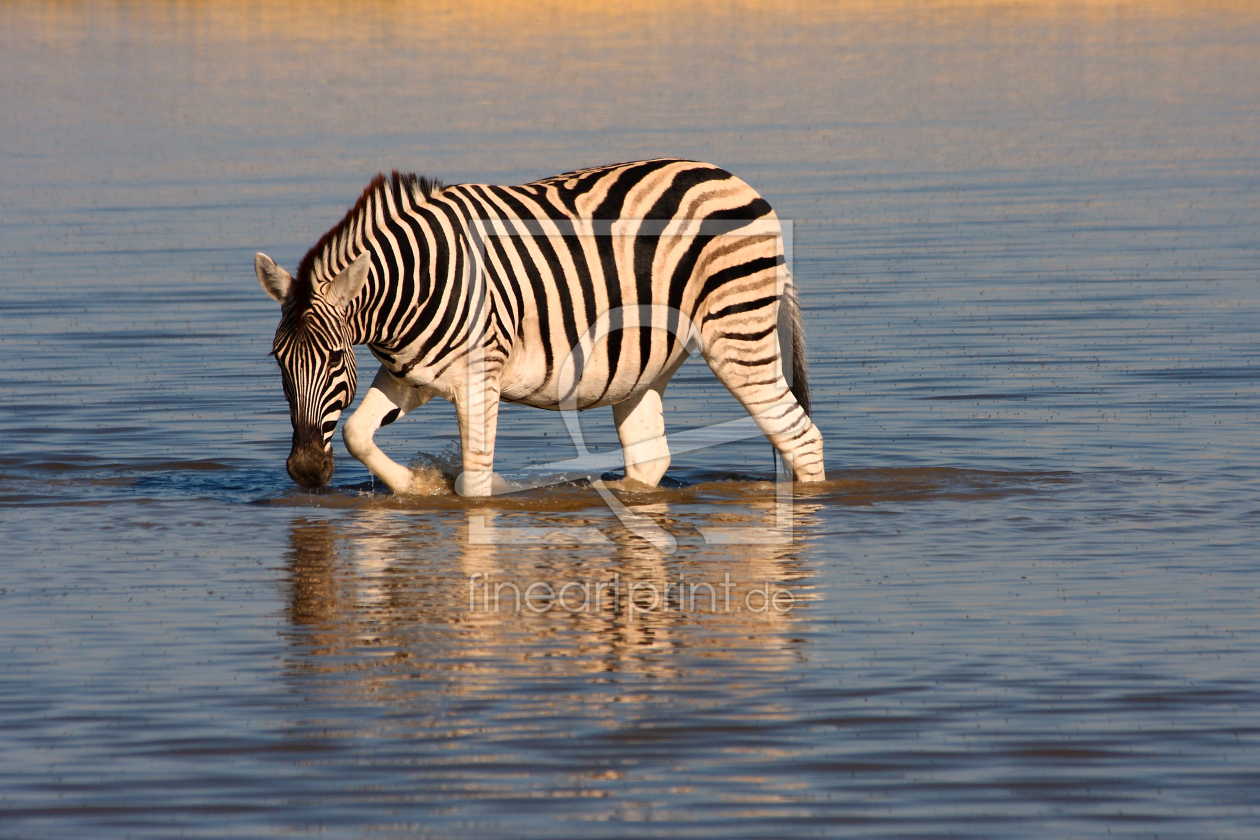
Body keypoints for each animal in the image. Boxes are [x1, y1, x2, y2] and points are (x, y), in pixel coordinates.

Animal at [255, 158, 826, 496]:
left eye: (333, 358)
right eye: (279, 362)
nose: (306, 473)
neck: (412, 286)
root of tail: (735, 181)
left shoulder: (478, 380)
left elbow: (475, 485)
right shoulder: (410, 376)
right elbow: (356, 433)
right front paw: (418, 484)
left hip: (737, 334)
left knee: (801, 438)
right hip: (647, 361)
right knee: (650, 458)